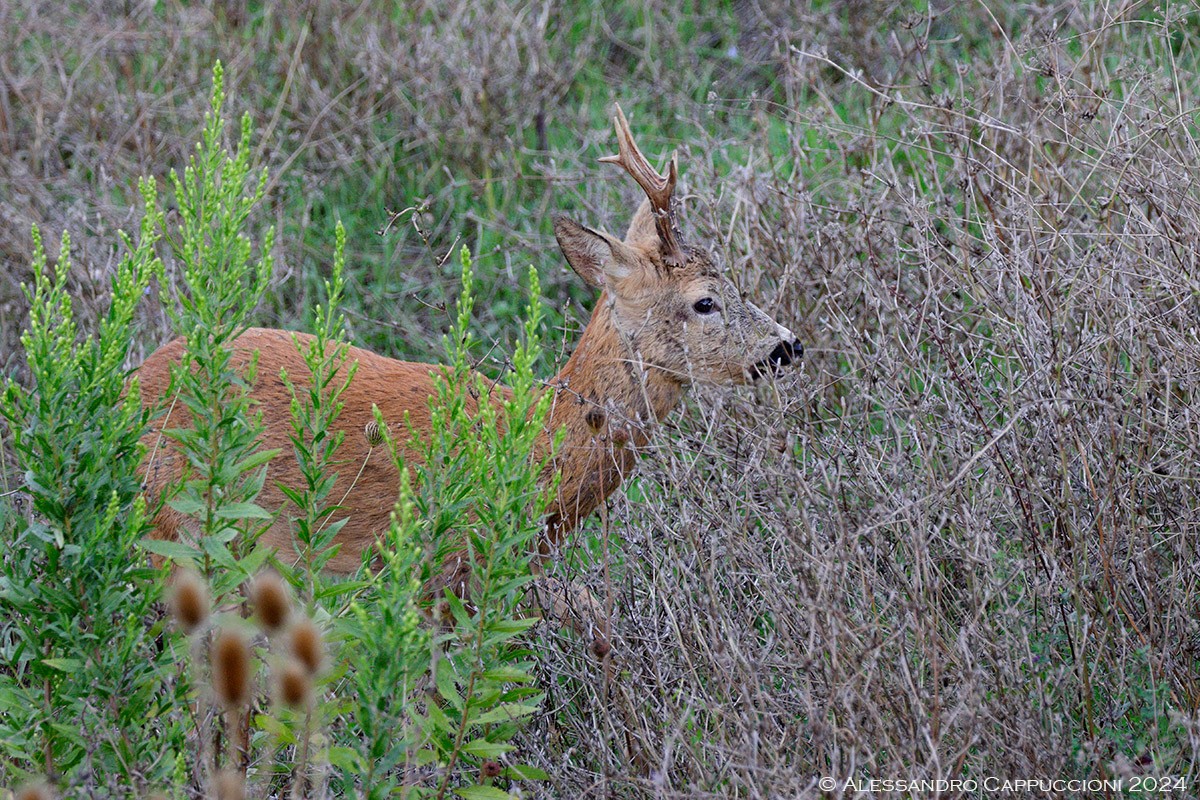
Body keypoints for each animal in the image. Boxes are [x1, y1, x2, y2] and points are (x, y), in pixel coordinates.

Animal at [136, 106, 801, 623]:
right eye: (705, 300)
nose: (787, 346)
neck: (535, 441)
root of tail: (131, 385)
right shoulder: (443, 571)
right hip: (191, 538)